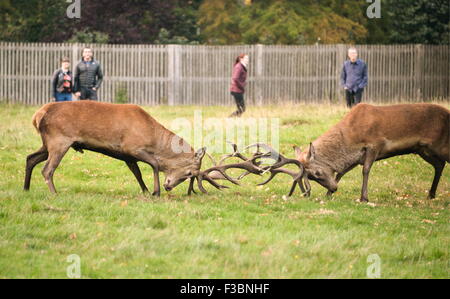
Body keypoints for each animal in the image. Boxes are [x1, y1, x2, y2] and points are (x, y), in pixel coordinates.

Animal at [294, 103, 448, 204]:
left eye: (317, 173)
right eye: (310, 177)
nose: (334, 188)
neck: (351, 138)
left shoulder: (375, 145)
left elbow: (366, 170)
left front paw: (364, 198)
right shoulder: (357, 157)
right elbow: (341, 173)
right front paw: (328, 194)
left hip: (440, 145)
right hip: (423, 150)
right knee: (439, 164)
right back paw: (431, 194)